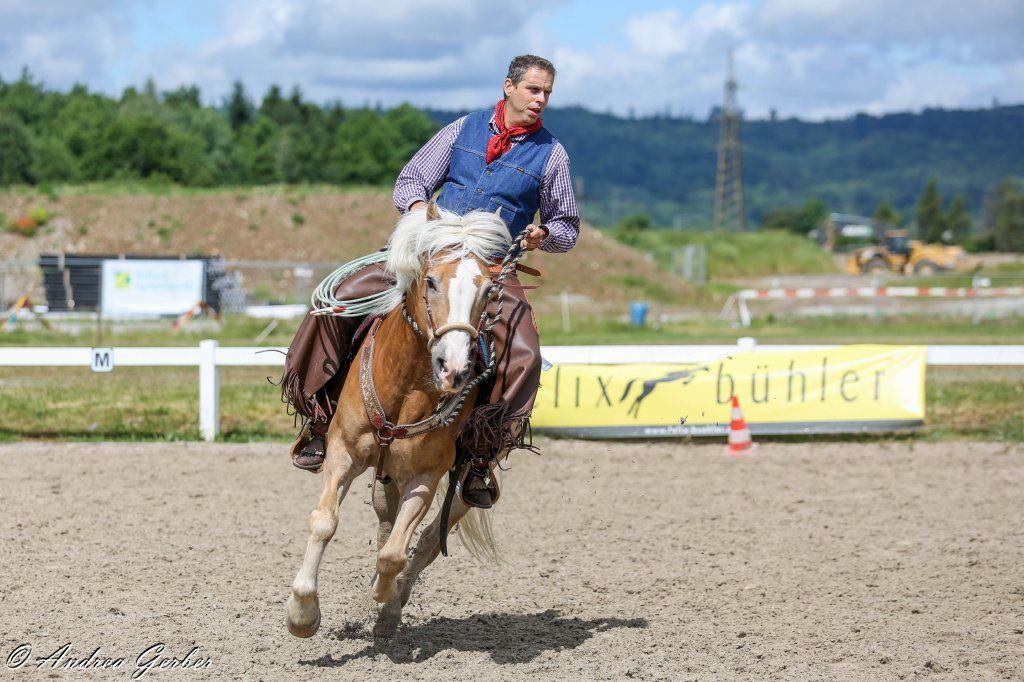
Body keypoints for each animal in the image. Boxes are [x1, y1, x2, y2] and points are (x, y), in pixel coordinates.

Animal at [285, 203, 514, 639]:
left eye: (488, 291)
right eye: (431, 281)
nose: (454, 368)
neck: (406, 386)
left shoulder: (425, 478)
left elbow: (395, 554)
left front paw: (385, 596)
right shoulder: (343, 454)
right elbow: (324, 522)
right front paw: (302, 614)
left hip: (465, 479)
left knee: (426, 539)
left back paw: (391, 606)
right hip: (383, 471)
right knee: (384, 520)